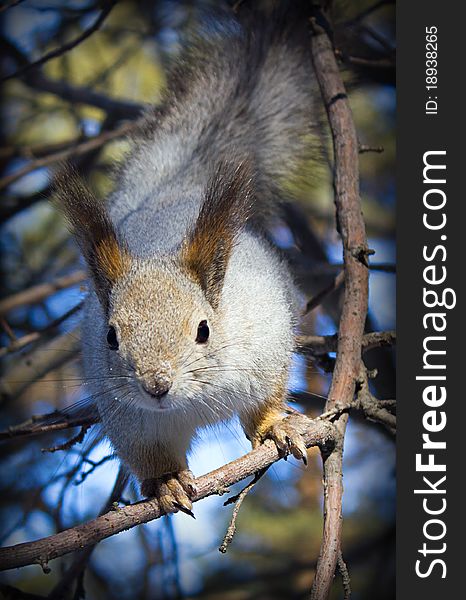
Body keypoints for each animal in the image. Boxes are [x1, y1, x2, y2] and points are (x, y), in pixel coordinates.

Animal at [52, 5, 318, 516]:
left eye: (203, 330)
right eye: (111, 337)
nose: (156, 386)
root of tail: (170, 194)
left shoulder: (264, 349)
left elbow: (266, 401)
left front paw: (273, 425)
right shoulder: (129, 418)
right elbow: (150, 455)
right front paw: (167, 481)